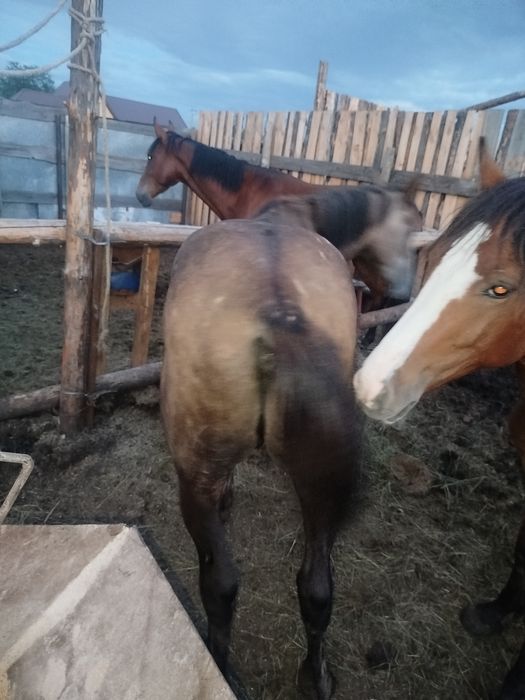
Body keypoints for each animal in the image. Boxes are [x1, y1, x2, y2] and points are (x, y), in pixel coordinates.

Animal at [161, 185, 421, 699]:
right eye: (408, 229)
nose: (405, 291)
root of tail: (279, 319)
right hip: (321, 489)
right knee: (316, 588)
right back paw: (315, 677)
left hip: (195, 477)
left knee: (219, 585)